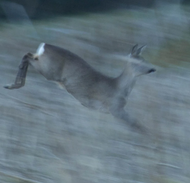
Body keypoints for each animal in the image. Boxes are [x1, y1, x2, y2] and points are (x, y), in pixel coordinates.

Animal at [4, 43, 156, 133]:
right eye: (138, 61)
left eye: (145, 60)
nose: (152, 69)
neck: (118, 87)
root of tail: (44, 46)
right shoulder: (115, 108)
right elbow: (136, 124)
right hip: (49, 70)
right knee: (27, 56)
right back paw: (13, 84)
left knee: (28, 54)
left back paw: (12, 85)